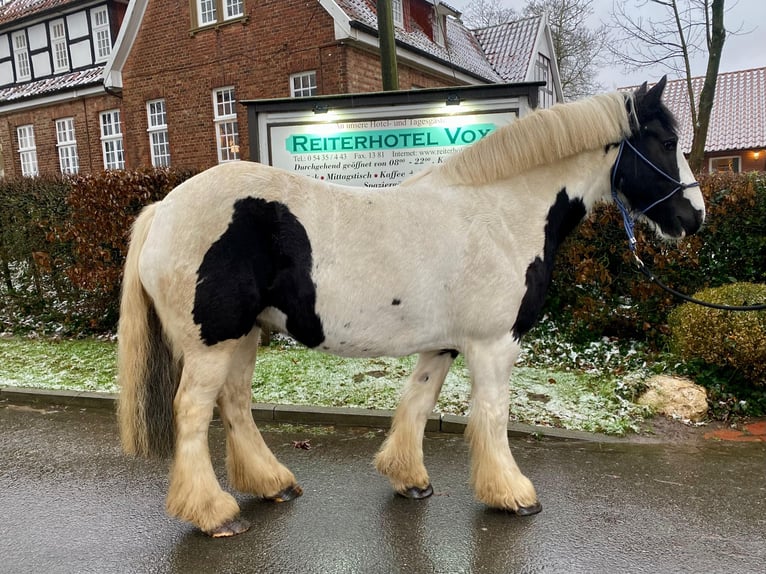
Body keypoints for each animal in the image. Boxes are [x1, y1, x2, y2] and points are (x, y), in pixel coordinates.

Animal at [115, 75, 708, 536]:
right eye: (666, 140)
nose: (694, 218)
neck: (501, 213)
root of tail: (164, 208)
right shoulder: (494, 344)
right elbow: (492, 415)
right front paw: (512, 494)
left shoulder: (443, 344)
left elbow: (418, 403)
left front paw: (409, 479)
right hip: (213, 342)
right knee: (194, 411)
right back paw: (214, 514)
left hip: (244, 335)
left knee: (235, 404)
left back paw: (272, 484)